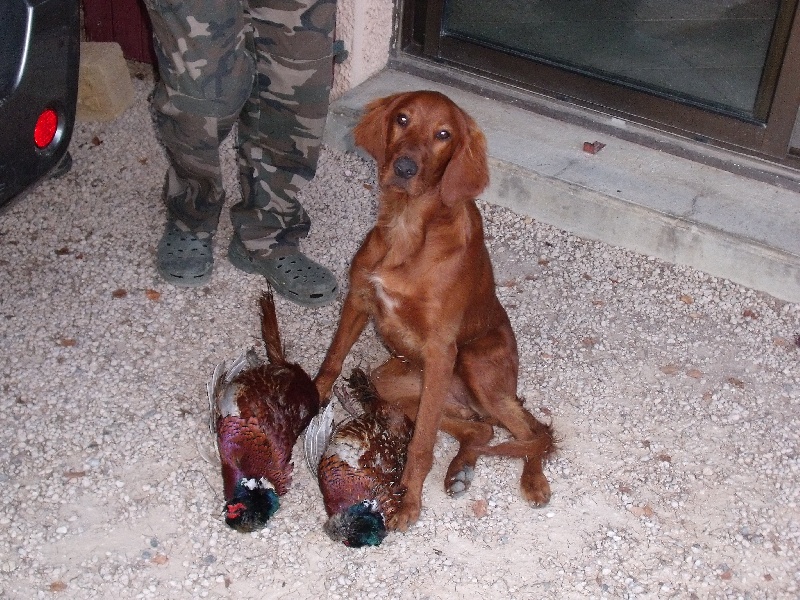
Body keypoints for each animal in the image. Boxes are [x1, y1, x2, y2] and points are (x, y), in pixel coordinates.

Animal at [314, 90, 556, 528]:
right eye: (402, 119)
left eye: (444, 134)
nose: (404, 167)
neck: (408, 227)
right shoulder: (358, 299)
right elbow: (333, 360)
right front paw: (309, 398)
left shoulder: (442, 349)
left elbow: (422, 442)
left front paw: (408, 500)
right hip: (393, 383)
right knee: (481, 431)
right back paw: (461, 467)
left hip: (476, 368)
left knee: (533, 433)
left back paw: (532, 480)